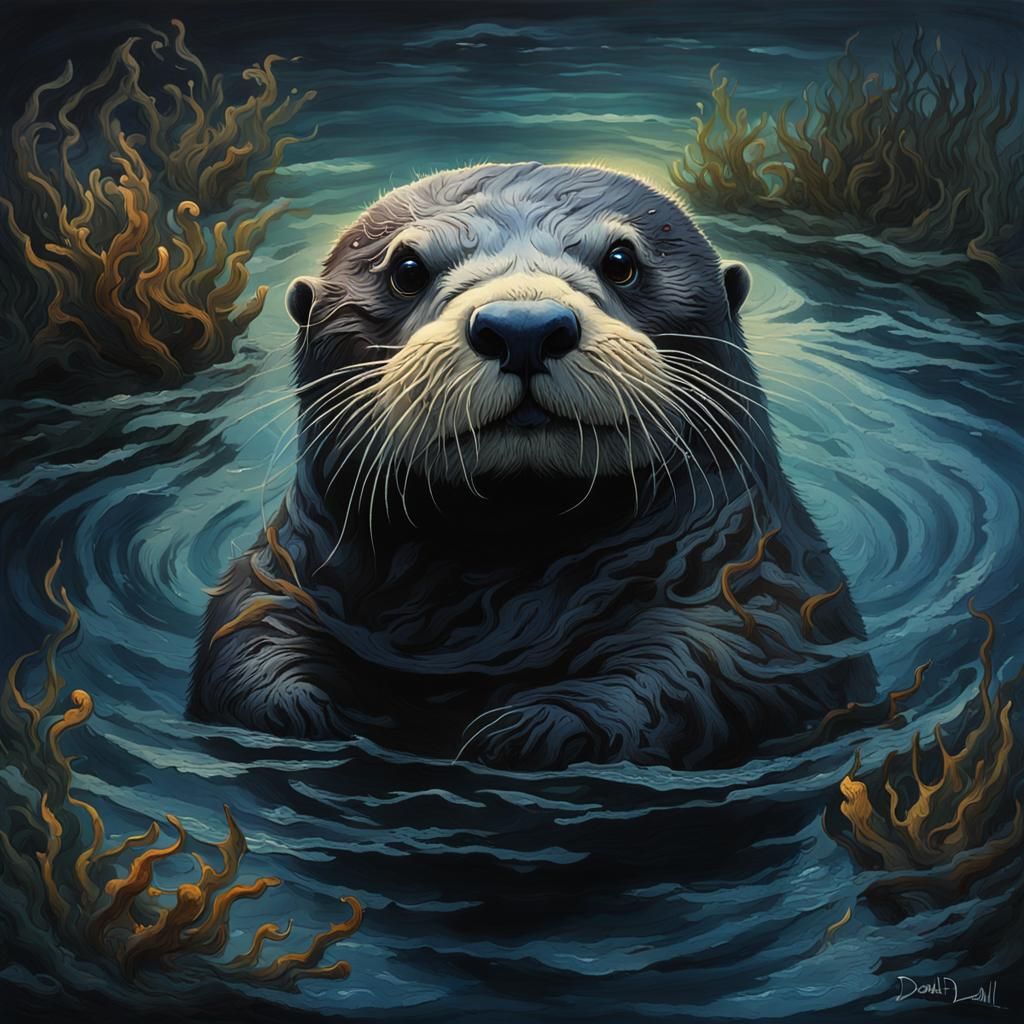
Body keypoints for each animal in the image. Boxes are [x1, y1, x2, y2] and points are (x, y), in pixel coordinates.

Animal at [190, 162, 876, 770]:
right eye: (406, 269)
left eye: (622, 261)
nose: (524, 326)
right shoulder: (280, 575)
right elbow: (246, 640)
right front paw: (309, 715)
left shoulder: (767, 588)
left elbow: (724, 661)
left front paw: (535, 728)